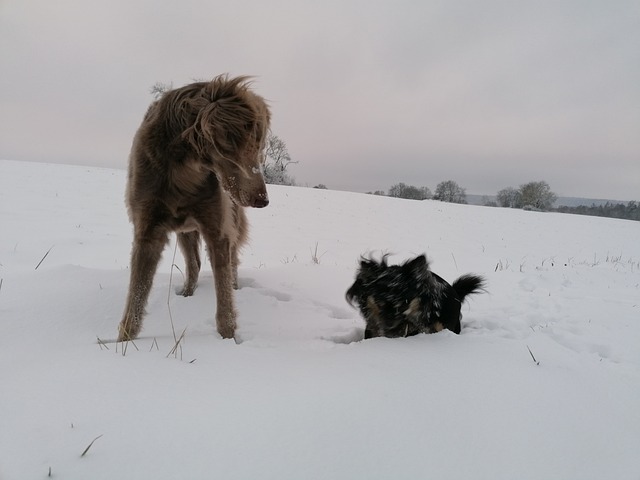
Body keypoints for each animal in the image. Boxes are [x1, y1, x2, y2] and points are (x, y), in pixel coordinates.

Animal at [118, 75, 270, 342]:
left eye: (260, 147)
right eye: (247, 146)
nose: (263, 200)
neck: (183, 168)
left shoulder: (217, 229)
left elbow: (224, 298)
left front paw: (229, 339)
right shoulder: (147, 231)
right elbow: (136, 296)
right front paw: (122, 343)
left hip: (228, 221)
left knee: (232, 262)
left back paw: (234, 286)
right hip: (185, 230)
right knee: (195, 264)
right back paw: (188, 293)